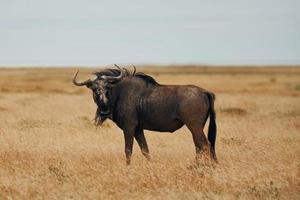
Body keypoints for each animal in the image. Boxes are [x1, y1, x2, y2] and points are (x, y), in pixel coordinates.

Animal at [73, 65, 218, 165]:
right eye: (94, 90)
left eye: (108, 88)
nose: (104, 111)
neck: (119, 93)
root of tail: (205, 92)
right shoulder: (138, 129)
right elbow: (145, 150)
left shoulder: (129, 127)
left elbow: (128, 149)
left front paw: (128, 167)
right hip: (196, 128)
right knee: (200, 146)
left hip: (194, 127)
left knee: (205, 146)